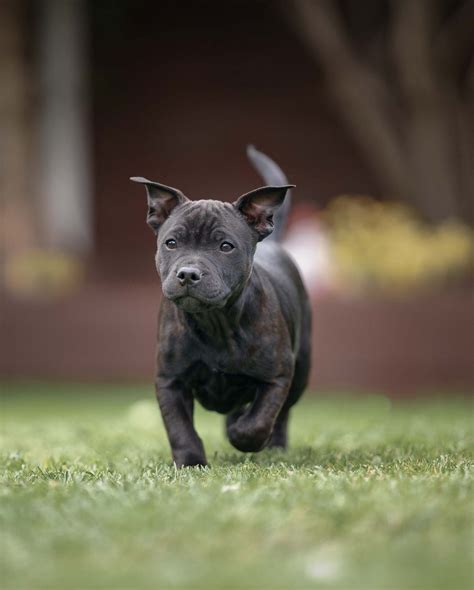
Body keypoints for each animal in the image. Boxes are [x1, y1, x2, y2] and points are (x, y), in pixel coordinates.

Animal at [131, 147, 312, 468]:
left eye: (226, 246)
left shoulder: (278, 376)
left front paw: (243, 436)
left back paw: (273, 446)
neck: (215, 321)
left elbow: (260, 420)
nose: (188, 274)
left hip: (301, 369)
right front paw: (191, 462)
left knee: (282, 415)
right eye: (171, 243)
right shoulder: (170, 381)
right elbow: (179, 427)